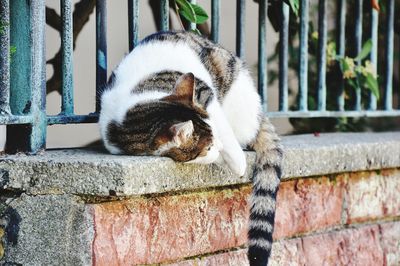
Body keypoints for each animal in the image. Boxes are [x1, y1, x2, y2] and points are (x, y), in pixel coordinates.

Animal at [98, 31, 282, 266]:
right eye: (209, 147)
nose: (218, 146)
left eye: (214, 138)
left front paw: (237, 161)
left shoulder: (206, 94)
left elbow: (222, 125)